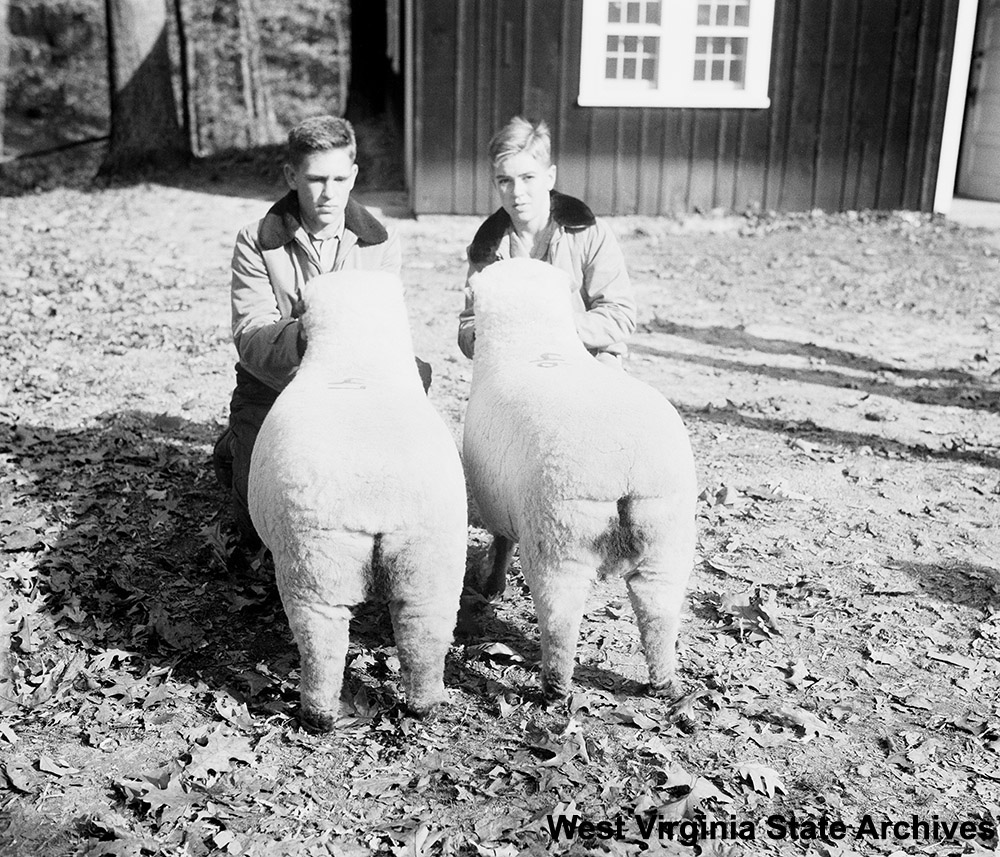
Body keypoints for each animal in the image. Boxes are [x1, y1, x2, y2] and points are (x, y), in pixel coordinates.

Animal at [250, 270, 468, 724]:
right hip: (430, 561)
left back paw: (318, 713)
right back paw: (425, 704)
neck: (359, 355)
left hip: (314, 563)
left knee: (322, 640)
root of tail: (377, 502)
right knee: (425, 633)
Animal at [460, 258, 696, 700]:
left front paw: (492, 586)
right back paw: (664, 684)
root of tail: (627, 463)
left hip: (558, 538)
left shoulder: (496, 505)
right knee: (657, 613)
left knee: (560, 617)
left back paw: (554, 687)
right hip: (667, 538)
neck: (533, 340)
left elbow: (501, 545)